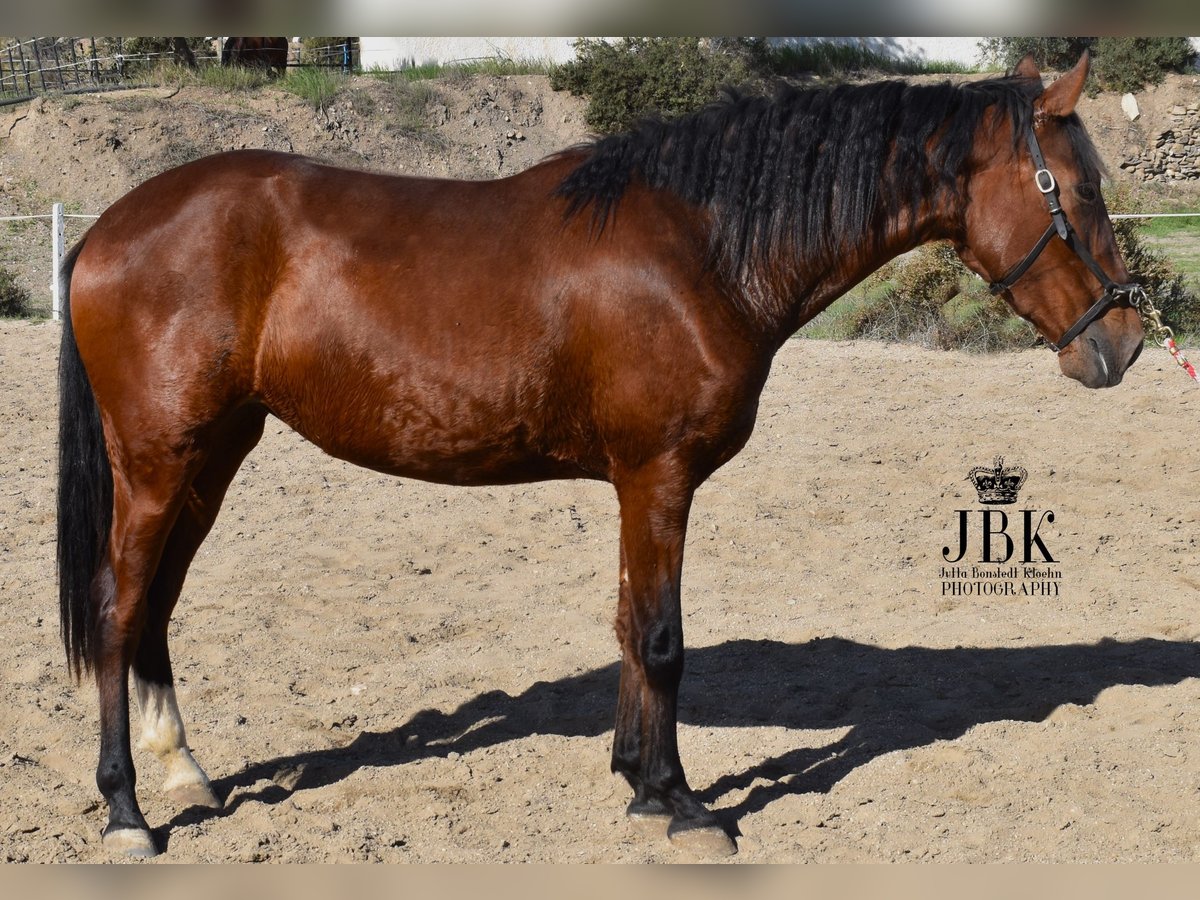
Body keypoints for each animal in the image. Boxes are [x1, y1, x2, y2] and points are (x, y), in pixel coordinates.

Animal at [56, 54, 1142, 859]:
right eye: (1082, 188)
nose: (1126, 343)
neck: (704, 246)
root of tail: (107, 228)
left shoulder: (637, 482)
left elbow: (629, 626)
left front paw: (639, 786)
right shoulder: (656, 474)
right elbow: (661, 637)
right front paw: (683, 804)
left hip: (212, 456)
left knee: (156, 608)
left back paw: (183, 770)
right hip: (157, 465)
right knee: (116, 610)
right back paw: (127, 813)